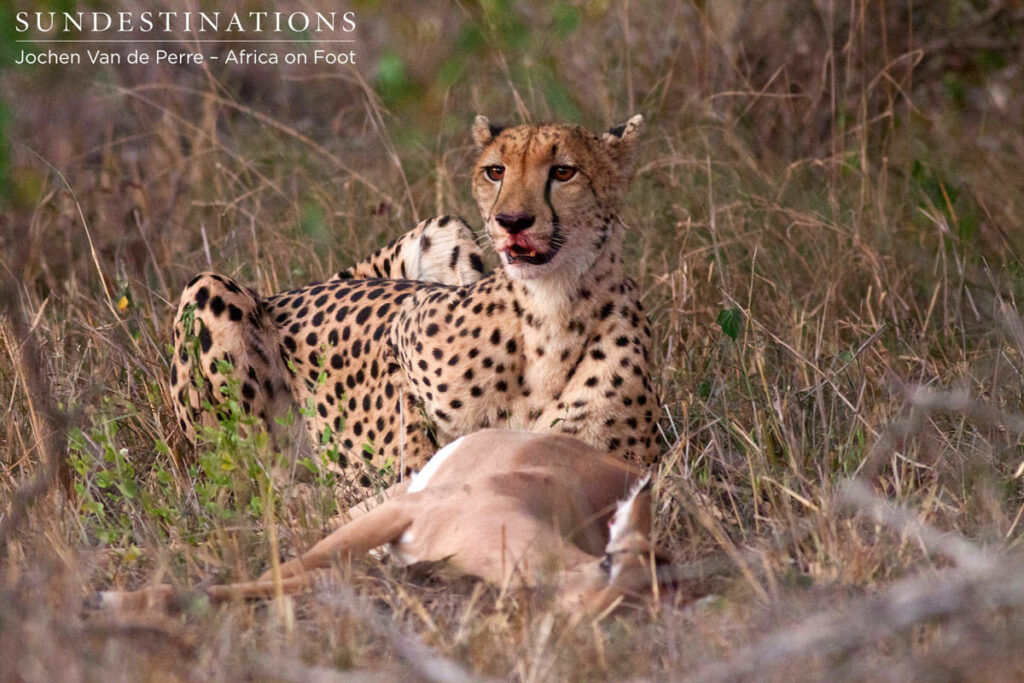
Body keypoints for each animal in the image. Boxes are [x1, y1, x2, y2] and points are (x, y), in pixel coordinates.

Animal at [90, 430, 668, 616]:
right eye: (612, 562)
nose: (588, 613)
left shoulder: (383, 567)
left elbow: (283, 582)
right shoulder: (396, 518)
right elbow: (271, 573)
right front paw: (115, 599)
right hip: (376, 505)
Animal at [170, 115, 658, 487]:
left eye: (563, 172)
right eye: (496, 171)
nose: (512, 221)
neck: (551, 310)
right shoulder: (402, 330)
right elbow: (408, 425)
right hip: (208, 287)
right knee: (254, 483)